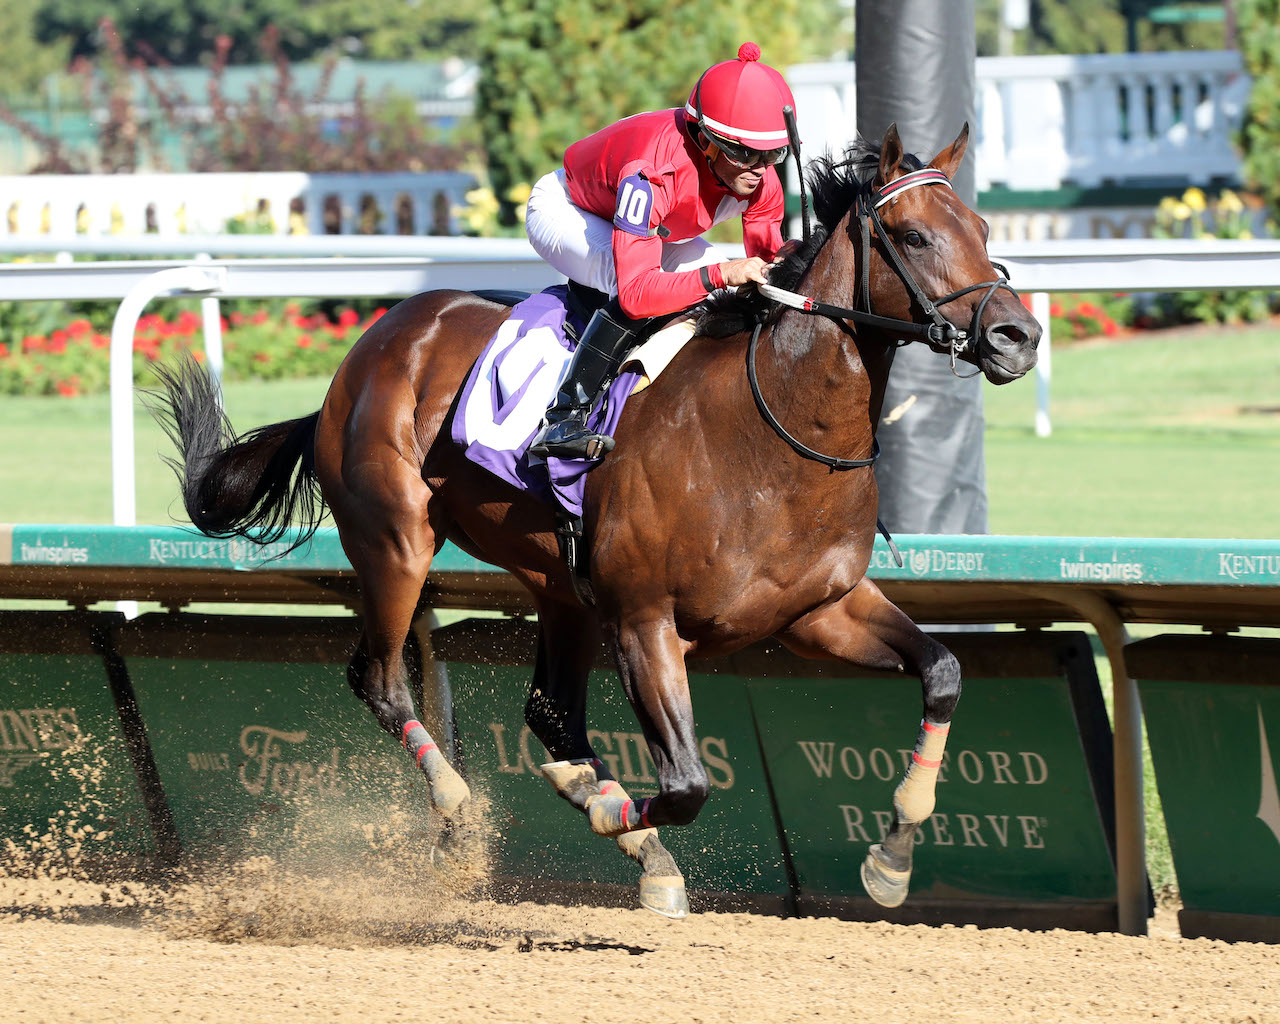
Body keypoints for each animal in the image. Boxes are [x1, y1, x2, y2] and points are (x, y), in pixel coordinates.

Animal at [152, 126, 1039, 921]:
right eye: (914, 235)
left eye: (983, 228)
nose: (1018, 336)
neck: (776, 430)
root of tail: (368, 350)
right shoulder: (646, 621)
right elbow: (686, 785)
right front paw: (619, 814)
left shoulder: (817, 611)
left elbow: (944, 672)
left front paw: (892, 857)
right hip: (395, 542)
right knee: (380, 677)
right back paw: (461, 813)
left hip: (561, 588)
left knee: (549, 713)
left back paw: (606, 816)